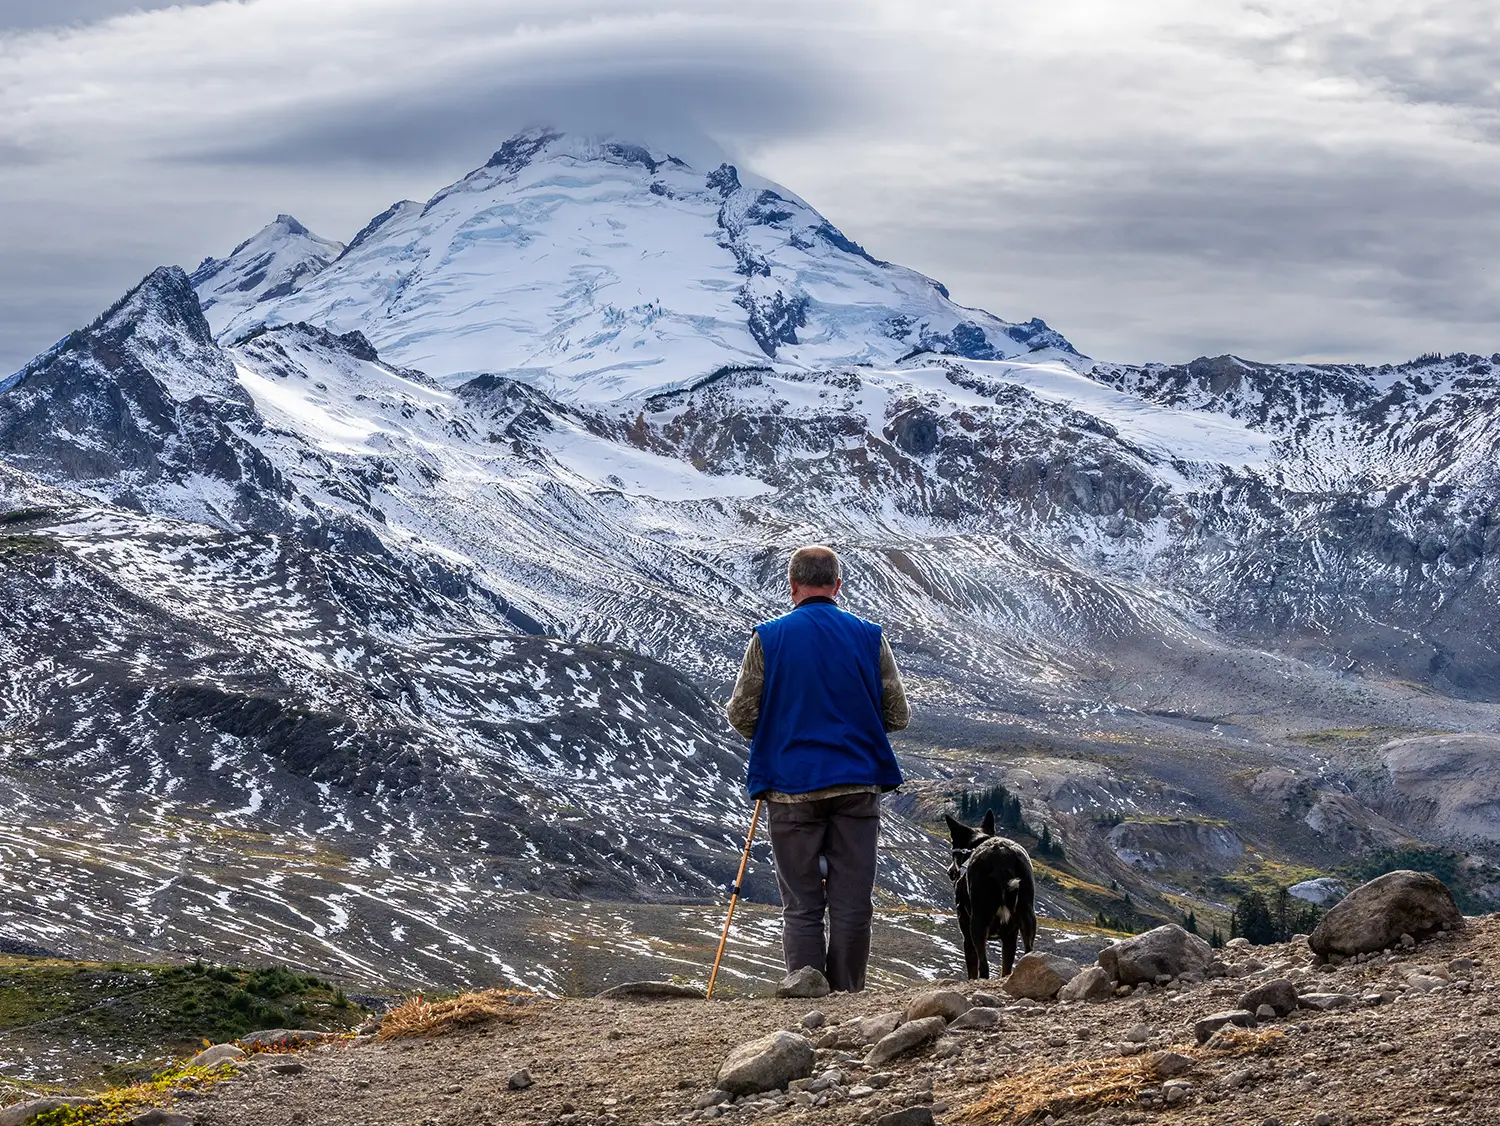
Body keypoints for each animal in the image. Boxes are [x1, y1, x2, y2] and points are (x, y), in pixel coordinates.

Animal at [942, 809, 1038, 977]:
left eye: (953, 842)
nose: (950, 872)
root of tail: (1002, 856)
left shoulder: (967, 935)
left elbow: (972, 970)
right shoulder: (1010, 935)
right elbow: (1006, 968)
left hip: (978, 922)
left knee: (984, 966)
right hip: (1027, 914)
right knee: (1028, 953)